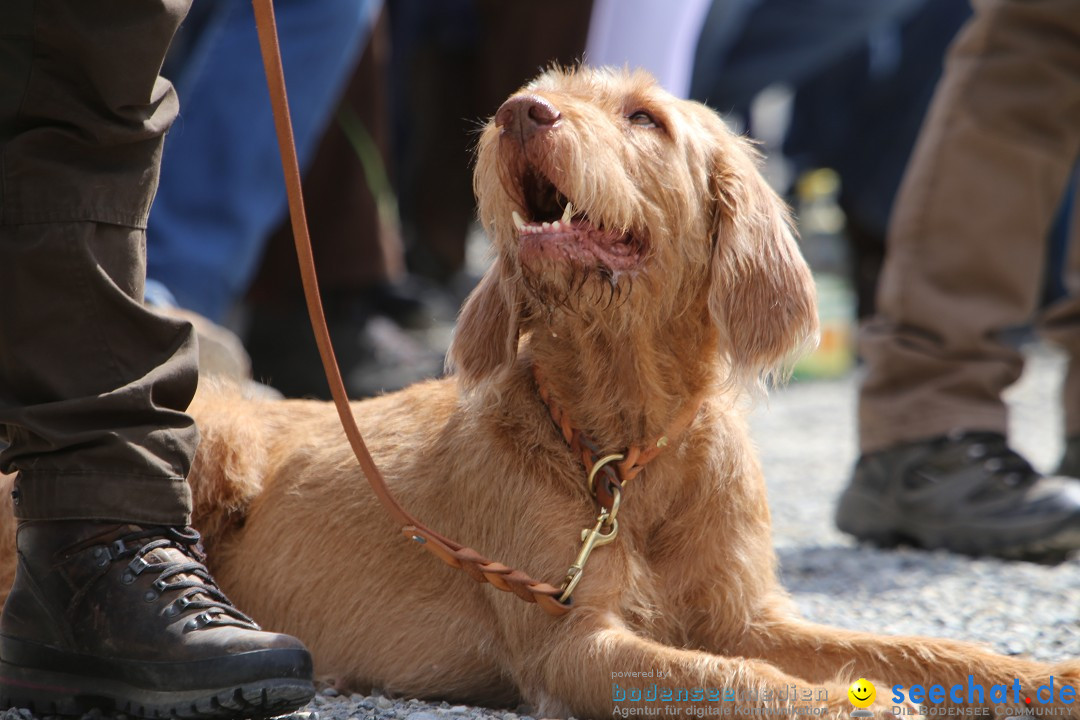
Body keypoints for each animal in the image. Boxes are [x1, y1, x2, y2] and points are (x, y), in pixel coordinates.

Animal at [2, 64, 1080, 716]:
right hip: (209, 440)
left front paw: (1039, 672)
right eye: (537, 93)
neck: (624, 443)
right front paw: (832, 704)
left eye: (645, 116)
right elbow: (729, 680)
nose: (523, 112)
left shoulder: (746, 612)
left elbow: (915, 648)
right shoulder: (575, 645)